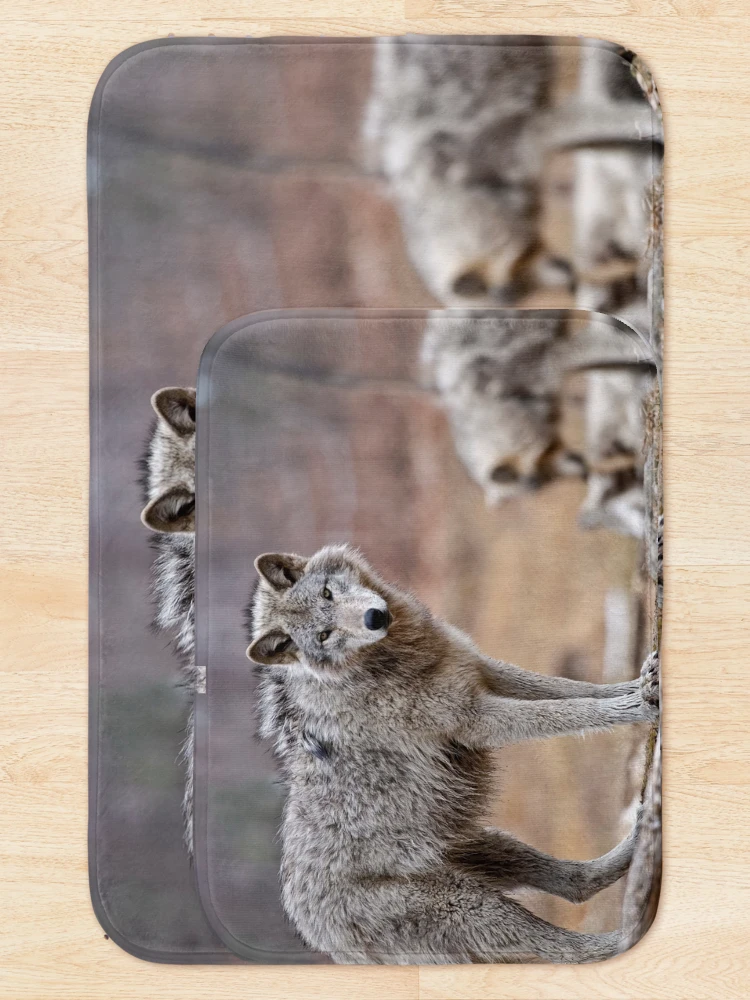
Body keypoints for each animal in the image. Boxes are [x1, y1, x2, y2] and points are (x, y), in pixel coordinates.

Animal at [245, 544, 657, 964]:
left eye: (327, 594)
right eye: (325, 636)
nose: (374, 618)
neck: (384, 662)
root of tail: (317, 936)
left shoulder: (484, 672)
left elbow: (574, 689)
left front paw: (640, 683)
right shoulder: (478, 719)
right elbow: (572, 711)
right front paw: (637, 706)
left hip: (482, 846)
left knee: (576, 885)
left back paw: (637, 840)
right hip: (469, 904)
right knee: (568, 950)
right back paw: (629, 937)